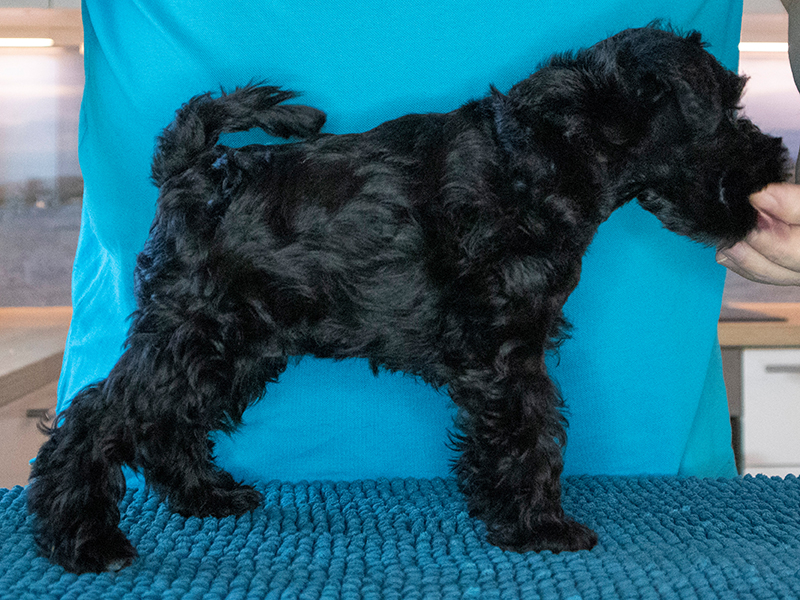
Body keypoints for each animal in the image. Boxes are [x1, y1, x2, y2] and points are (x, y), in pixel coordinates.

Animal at [28, 26, 788, 573]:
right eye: (729, 109)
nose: (775, 161)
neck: (547, 154)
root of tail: (190, 167)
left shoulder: (506, 350)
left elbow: (507, 434)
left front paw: (502, 511)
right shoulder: (507, 349)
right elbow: (531, 431)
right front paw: (540, 525)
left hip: (236, 342)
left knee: (167, 421)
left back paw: (205, 495)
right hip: (195, 326)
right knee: (96, 417)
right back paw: (83, 539)